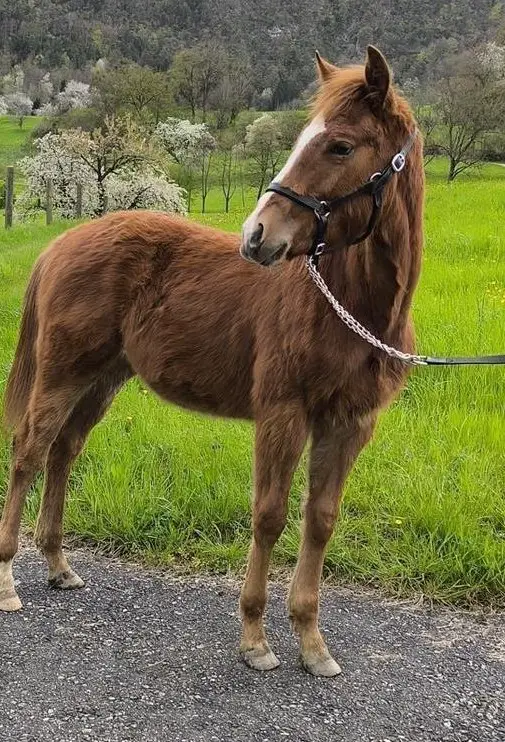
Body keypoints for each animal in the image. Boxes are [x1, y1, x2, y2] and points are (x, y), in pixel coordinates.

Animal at [0, 46, 424, 677]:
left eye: (341, 146)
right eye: (305, 137)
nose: (257, 235)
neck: (348, 306)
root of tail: (62, 243)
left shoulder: (349, 424)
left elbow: (320, 520)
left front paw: (312, 643)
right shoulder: (282, 413)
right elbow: (269, 515)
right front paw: (255, 639)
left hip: (103, 379)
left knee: (64, 451)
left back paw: (58, 565)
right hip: (62, 372)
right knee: (30, 450)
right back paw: (8, 579)